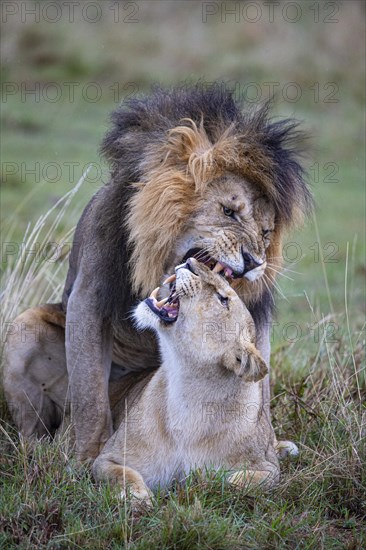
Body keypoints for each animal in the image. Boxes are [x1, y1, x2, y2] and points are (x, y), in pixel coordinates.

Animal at [3, 86, 312, 464]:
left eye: (266, 233)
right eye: (228, 211)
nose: (254, 262)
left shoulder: (256, 314)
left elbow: (260, 385)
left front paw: (264, 445)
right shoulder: (89, 297)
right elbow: (90, 395)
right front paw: (87, 457)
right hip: (25, 327)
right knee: (36, 425)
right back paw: (37, 453)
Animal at [93, 260, 278, 508]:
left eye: (223, 299)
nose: (190, 263)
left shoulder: (270, 468)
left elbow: (240, 481)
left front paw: (204, 486)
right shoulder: (106, 458)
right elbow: (122, 474)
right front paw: (138, 498)